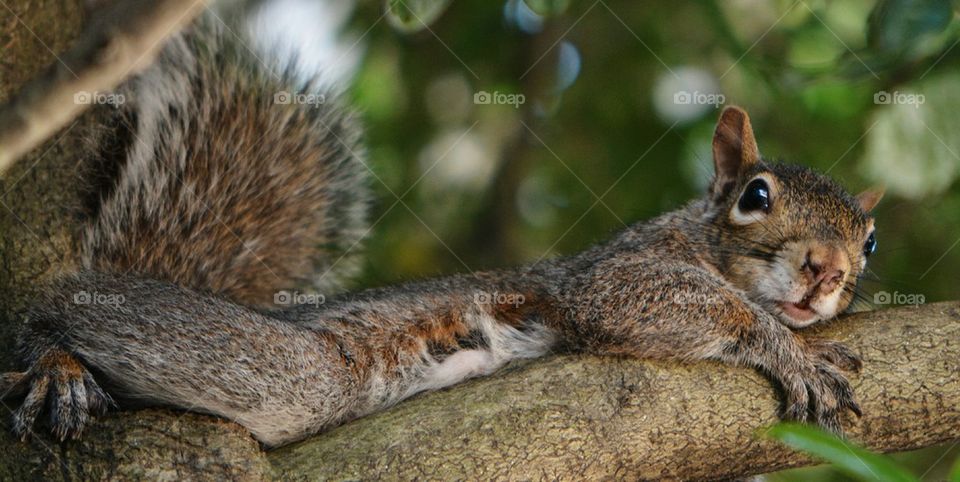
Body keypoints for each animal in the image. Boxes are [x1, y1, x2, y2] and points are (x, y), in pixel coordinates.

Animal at [0, 11, 883, 448]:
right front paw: (788, 347)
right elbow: (645, 300)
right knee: (70, 310)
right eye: (755, 197)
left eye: (870, 241)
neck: (700, 239)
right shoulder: (615, 272)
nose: (828, 270)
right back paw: (52, 363)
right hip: (291, 371)